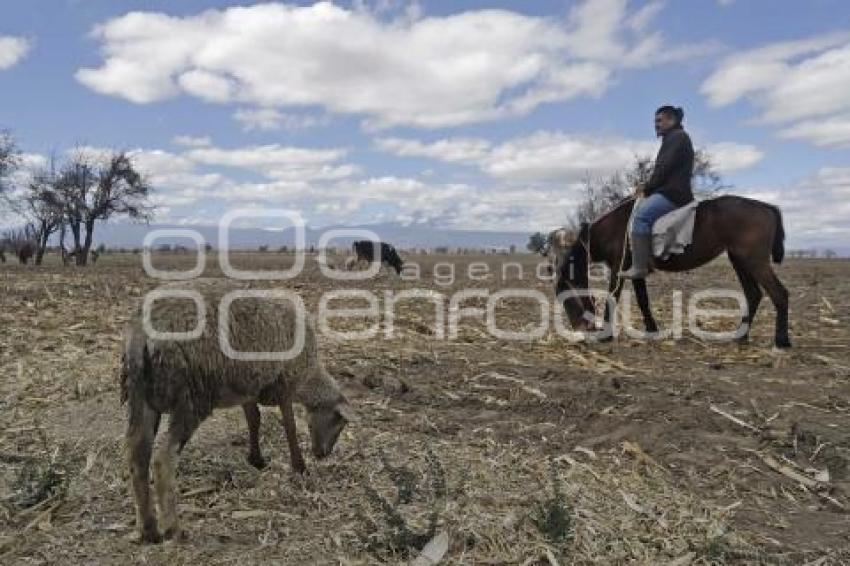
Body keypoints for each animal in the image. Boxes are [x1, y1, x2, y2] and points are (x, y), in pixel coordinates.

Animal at [120, 280, 354, 544]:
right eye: (339, 422)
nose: (323, 454)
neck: (308, 376)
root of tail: (143, 333)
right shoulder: (283, 382)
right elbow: (290, 426)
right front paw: (300, 466)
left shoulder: (247, 388)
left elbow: (254, 419)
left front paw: (256, 459)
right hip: (193, 397)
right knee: (163, 459)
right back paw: (173, 528)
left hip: (141, 396)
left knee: (137, 455)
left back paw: (148, 529)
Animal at [556, 195, 788, 348]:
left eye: (568, 300)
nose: (579, 329)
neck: (614, 227)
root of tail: (766, 206)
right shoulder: (634, 270)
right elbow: (643, 300)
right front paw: (652, 330)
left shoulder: (618, 268)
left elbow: (613, 297)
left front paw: (606, 334)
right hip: (740, 261)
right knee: (753, 294)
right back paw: (741, 337)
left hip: (755, 262)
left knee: (779, 294)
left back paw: (782, 341)